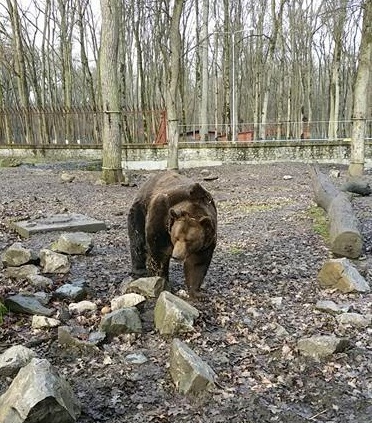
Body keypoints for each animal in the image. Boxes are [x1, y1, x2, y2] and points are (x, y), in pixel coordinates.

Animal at [128, 170, 217, 298]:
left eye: (189, 240)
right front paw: (160, 280)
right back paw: (139, 270)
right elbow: (159, 251)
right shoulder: (161, 215)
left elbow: (197, 262)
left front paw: (196, 292)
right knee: (137, 238)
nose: (176, 256)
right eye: (176, 237)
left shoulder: (207, 238)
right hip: (140, 208)